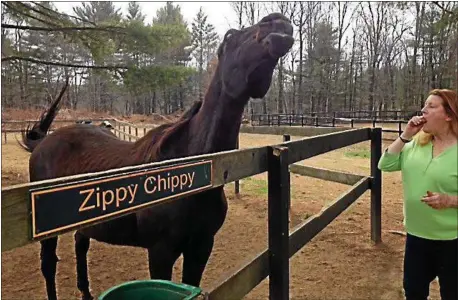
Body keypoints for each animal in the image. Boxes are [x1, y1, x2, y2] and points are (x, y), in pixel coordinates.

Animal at [20, 13, 294, 300]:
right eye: (229, 36)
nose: (277, 22)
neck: (190, 169)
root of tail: (43, 142)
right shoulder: (161, 252)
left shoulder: (201, 247)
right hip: (48, 233)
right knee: (48, 264)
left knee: (80, 245)